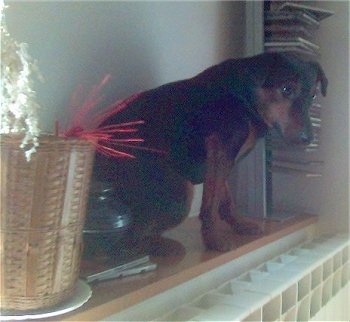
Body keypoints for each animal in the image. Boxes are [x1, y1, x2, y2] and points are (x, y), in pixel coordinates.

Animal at [93, 52, 328, 252]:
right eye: (286, 89)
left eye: (313, 96)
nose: (308, 138)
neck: (246, 97)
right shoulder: (221, 150)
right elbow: (211, 205)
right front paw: (213, 241)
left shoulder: (219, 158)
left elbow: (224, 198)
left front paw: (239, 225)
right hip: (179, 194)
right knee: (125, 242)